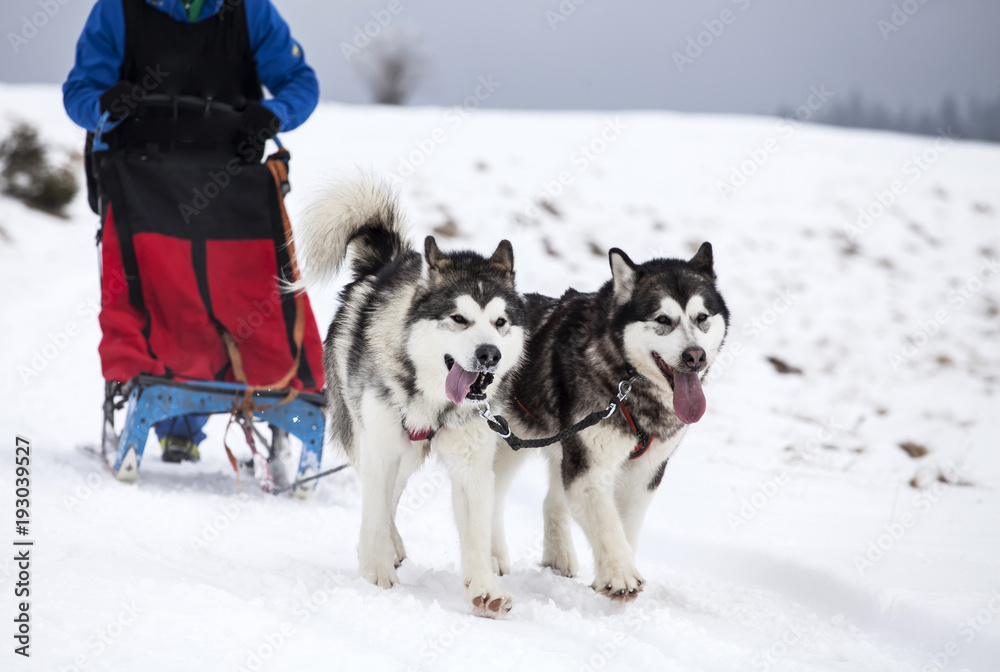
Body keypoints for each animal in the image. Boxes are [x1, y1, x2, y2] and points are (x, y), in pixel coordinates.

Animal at [294, 176, 528, 616]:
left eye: (500, 322)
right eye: (459, 319)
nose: (490, 354)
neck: (434, 401)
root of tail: (383, 263)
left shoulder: (472, 462)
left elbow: (476, 530)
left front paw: (484, 588)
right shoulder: (381, 446)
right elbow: (374, 509)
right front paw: (375, 570)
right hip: (376, 438)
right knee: (379, 499)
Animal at [490, 244, 728, 600]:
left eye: (702, 318)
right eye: (663, 319)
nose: (695, 356)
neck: (628, 386)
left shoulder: (644, 473)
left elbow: (625, 525)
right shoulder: (591, 469)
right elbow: (607, 524)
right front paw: (620, 575)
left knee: (552, 501)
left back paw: (558, 558)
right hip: (509, 446)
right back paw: (492, 557)